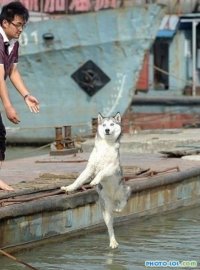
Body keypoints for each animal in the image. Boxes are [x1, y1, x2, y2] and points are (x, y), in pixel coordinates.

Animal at [61, 112, 131, 249]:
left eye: (112, 124)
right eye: (104, 125)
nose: (107, 130)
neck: (106, 146)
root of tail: (113, 200)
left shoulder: (112, 167)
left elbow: (102, 172)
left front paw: (94, 181)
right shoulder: (90, 168)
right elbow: (78, 180)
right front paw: (69, 188)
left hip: (124, 189)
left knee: (124, 201)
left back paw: (119, 208)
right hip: (106, 210)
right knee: (110, 228)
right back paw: (113, 242)